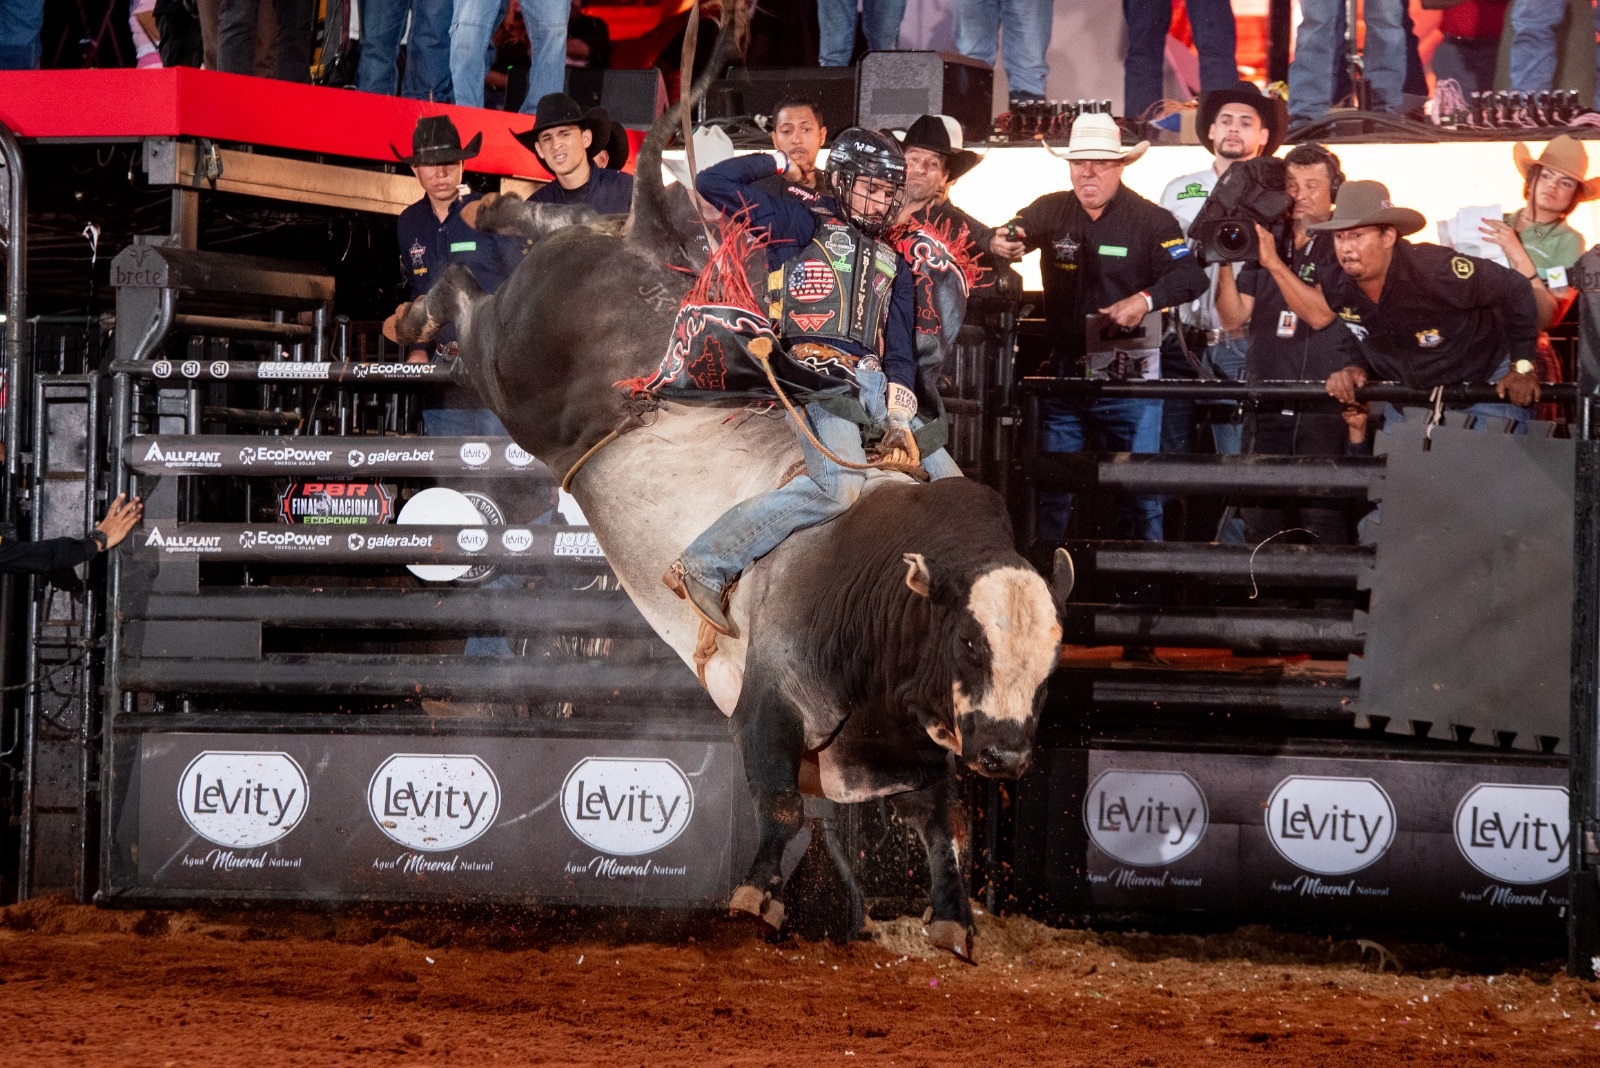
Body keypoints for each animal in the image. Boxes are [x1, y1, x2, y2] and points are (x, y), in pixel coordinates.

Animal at [388, 8, 1068, 959]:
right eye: (971, 642)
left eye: (1048, 659)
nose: (1006, 755)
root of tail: (652, 242)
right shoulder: (770, 702)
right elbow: (781, 808)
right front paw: (757, 898)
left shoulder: (907, 742)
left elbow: (943, 820)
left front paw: (950, 920)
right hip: (510, 361)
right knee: (465, 293)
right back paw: (418, 304)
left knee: (551, 215)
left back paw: (499, 207)